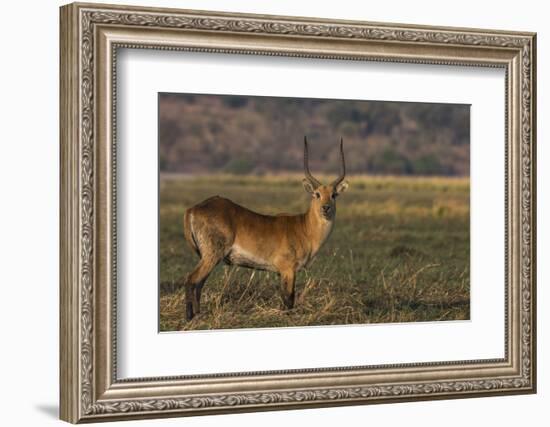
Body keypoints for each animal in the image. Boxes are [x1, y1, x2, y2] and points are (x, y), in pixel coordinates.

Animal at [183, 137, 352, 320]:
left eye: (334, 195)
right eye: (317, 194)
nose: (326, 208)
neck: (304, 228)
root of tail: (193, 209)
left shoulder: (281, 272)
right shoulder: (288, 269)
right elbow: (289, 300)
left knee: (199, 284)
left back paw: (198, 315)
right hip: (212, 256)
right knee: (191, 280)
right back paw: (189, 318)